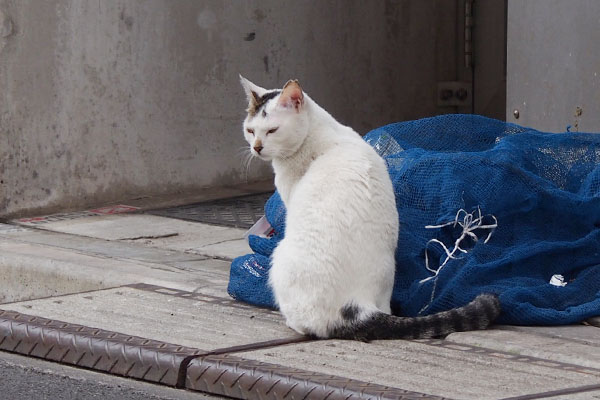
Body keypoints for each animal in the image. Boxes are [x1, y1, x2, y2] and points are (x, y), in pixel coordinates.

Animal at [240, 76, 502, 340]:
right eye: (250, 131)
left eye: (272, 130)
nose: (257, 147)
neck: (317, 131)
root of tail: (359, 306)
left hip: (279, 257)